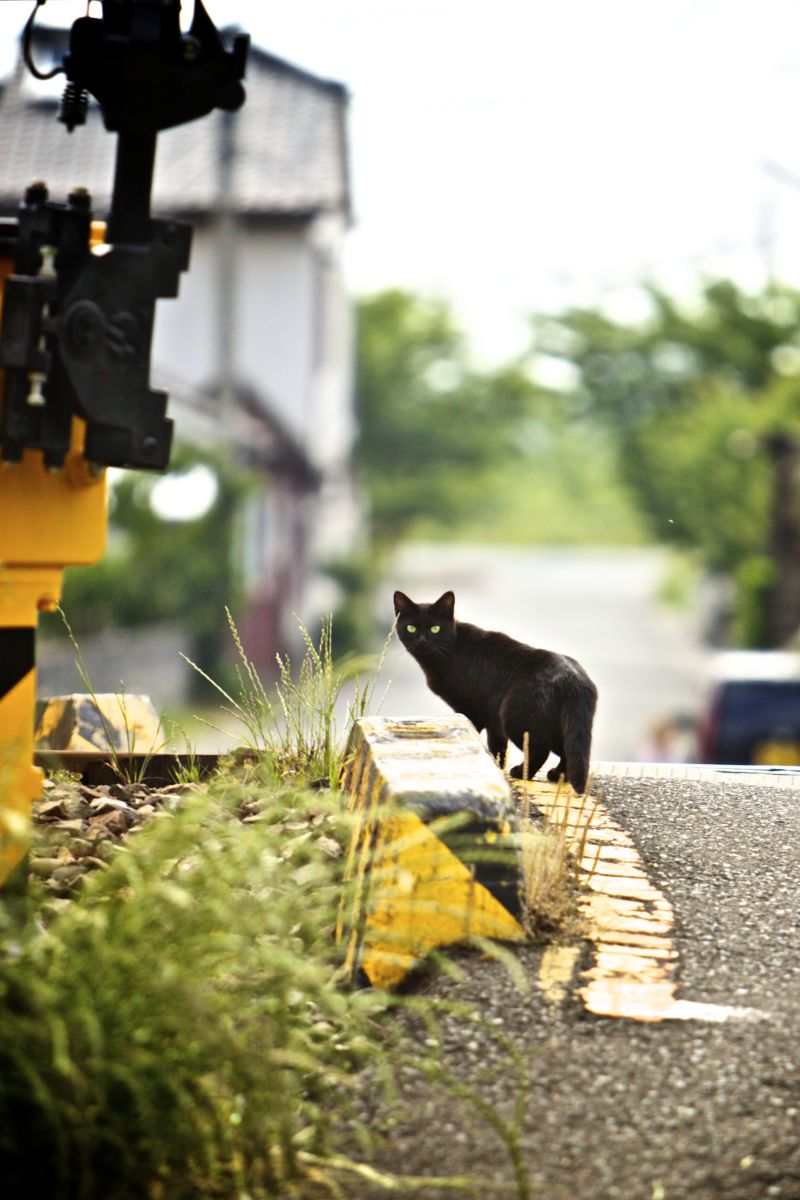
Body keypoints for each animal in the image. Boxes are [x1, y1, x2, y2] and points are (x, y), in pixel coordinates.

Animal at [391, 592, 597, 796]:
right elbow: (498, 747)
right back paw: (558, 775)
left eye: (435, 629)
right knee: (569, 751)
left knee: (540, 750)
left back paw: (522, 773)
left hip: (517, 718)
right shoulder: (492, 717)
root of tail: (573, 679)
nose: (422, 640)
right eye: (411, 628)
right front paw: (498, 767)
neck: (450, 651)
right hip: (561, 725)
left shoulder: (471, 711)